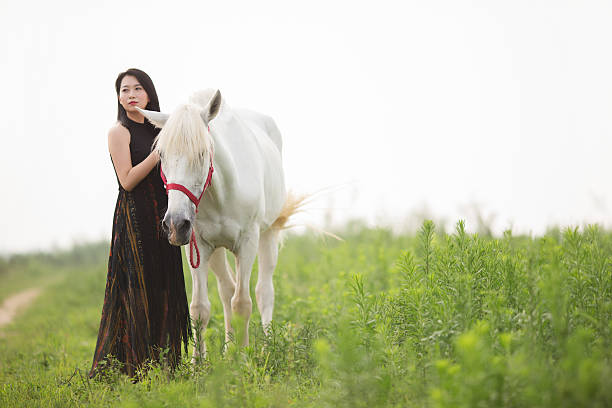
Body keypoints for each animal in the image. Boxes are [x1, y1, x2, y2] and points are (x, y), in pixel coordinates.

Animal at [139, 88, 302, 356]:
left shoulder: (248, 242)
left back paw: (267, 347)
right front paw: (199, 363)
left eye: (202, 152)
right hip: (215, 251)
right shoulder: (197, 247)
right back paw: (228, 351)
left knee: (263, 291)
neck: (222, 193)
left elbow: (242, 303)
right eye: (161, 154)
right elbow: (200, 308)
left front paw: (244, 358)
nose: (175, 225)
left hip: (268, 234)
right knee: (227, 290)